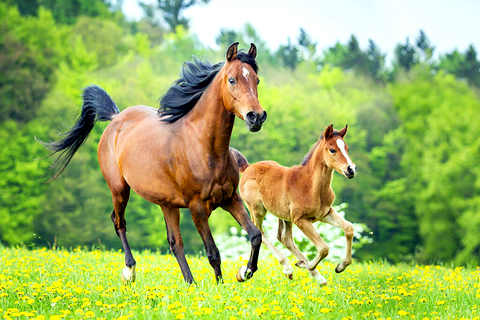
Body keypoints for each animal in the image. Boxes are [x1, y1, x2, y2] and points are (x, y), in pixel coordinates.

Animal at [39, 43, 268, 284]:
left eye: (256, 80)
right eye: (232, 80)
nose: (256, 117)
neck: (205, 148)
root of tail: (115, 118)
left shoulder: (230, 198)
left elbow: (255, 235)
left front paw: (245, 271)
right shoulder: (197, 207)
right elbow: (213, 252)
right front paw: (220, 286)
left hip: (167, 203)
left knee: (175, 242)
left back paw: (190, 283)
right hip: (119, 190)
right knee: (119, 222)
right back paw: (130, 271)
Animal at [231, 124, 358, 284]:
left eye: (347, 148)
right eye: (332, 150)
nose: (351, 169)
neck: (311, 186)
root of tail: (247, 167)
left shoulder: (326, 213)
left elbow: (349, 228)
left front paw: (340, 266)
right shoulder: (300, 219)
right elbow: (324, 248)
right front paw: (306, 264)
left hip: (284, 215)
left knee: (284, 238)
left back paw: (317, 276)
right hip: (257, 210)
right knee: (260, 233)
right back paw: (289, 268)